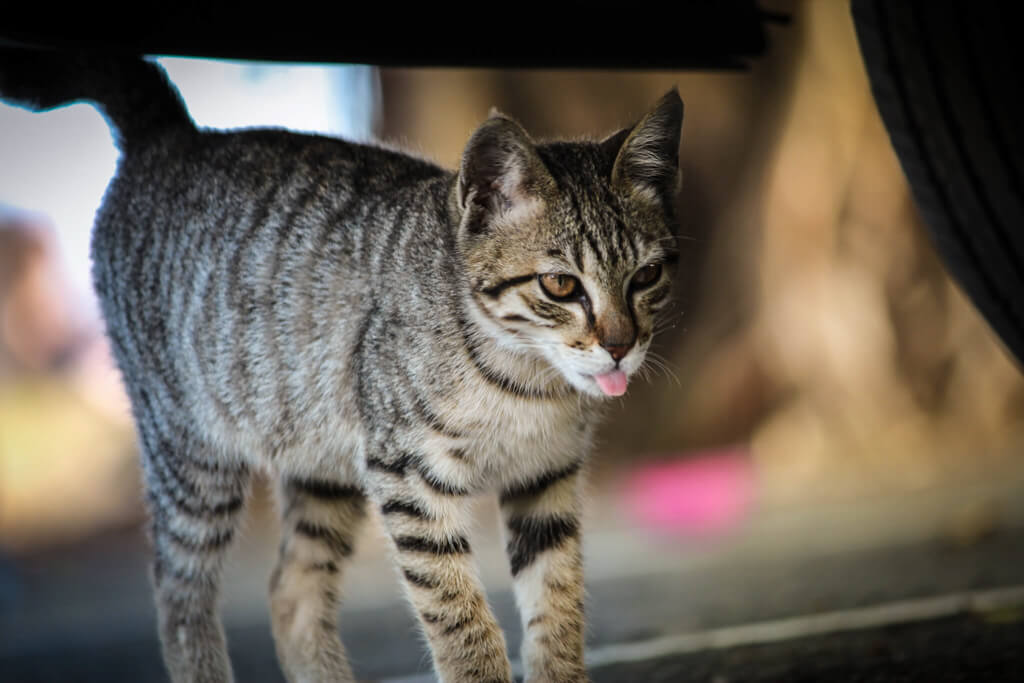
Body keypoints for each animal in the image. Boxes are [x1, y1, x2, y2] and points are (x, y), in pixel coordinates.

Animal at [2, 50, 688, 683]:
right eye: (560, 285)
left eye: (647, 277)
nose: (621, 346)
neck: (527, 381)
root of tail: (173, 134)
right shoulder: (408, 474)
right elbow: (459, 617)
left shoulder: (546, 478)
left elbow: (558, 607)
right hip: (192, 453)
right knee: (178, 595)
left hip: (319, 457)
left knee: (291, 589)